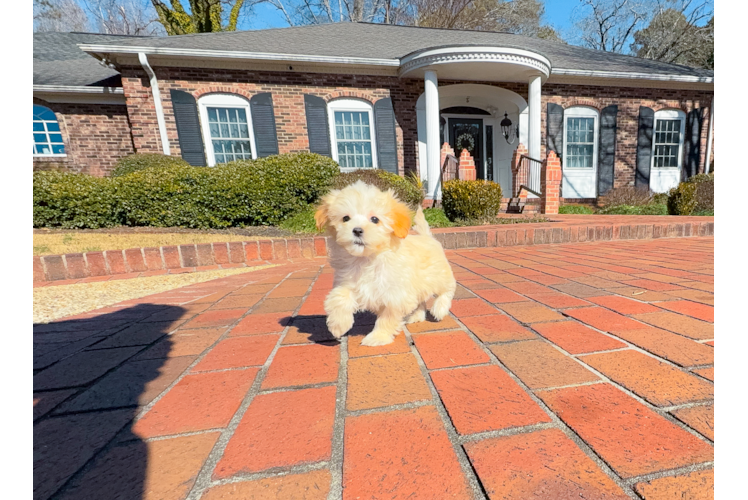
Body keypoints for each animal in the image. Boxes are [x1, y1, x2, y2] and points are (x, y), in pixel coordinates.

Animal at [314, 181, 456, 348]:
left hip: (439, 276)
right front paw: (338, 325)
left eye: (375, 219)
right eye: (346, 218)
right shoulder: (347, 282)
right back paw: (416, 316)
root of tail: (427, 237)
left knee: (447, 290)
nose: (357, 230)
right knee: (420, 301)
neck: (366, 259)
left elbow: (387, 319)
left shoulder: (395, 296)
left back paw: (439, 309)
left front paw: (378, 337)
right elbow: (338, 297)